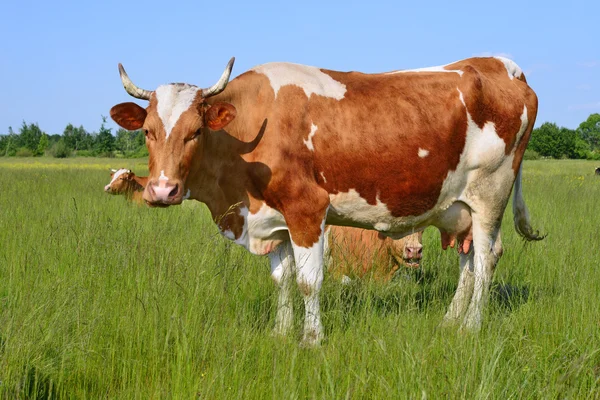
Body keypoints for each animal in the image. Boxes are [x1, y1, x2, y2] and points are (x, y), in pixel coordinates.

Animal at [109, 54, 544, 346]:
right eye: (147, 131)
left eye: (196, 131)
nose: (162, 191)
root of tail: (496, 63)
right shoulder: (275, 221)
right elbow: (282, 279)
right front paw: (280, 333)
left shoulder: (307, 210)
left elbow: (307, 281)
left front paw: (311, 339)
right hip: (461, 208)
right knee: (468, 262)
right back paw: (450, 322)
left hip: (489, 195)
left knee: (486, 261)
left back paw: (471, 326)